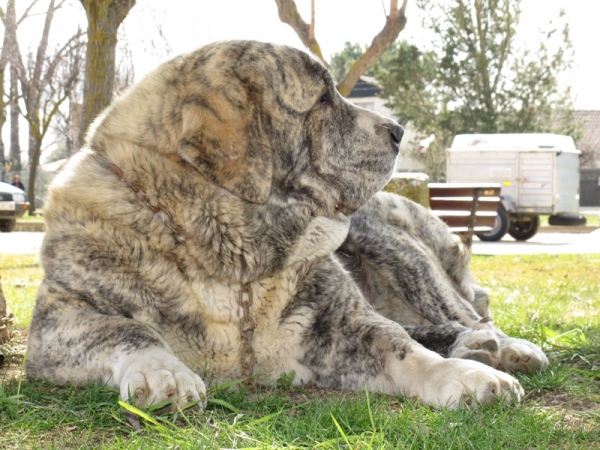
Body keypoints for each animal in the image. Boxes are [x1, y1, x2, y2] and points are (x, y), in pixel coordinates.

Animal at [25, 40, 548, 410]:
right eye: (321, 100)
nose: (399, 132)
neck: (232, 251)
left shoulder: (344, 323)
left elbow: (406, 351)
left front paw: (463, 376)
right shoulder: (60, 319)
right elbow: (128, 330)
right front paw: (164, 372)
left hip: (397, 252)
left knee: (467, 316)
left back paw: (499, 349)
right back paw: (477, 348)